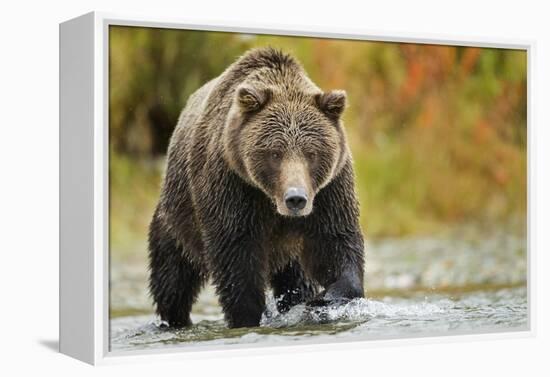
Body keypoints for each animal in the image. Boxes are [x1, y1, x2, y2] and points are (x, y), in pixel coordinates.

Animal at [150, 47, 366, 328]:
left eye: (311, 153)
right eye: (275, 153)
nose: (295, 198)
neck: (270, 200)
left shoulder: (329, 190)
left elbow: (335, 243)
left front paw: (323, 300)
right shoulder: (232, 186)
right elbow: (236, 258)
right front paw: (248, 316)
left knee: (296, 279)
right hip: (178, 218)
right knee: (172, 278)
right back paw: (174, 320)